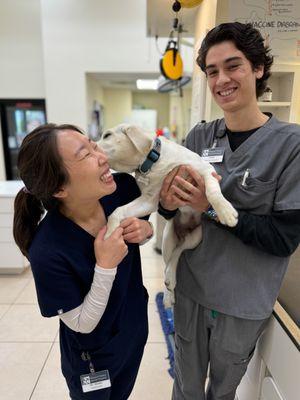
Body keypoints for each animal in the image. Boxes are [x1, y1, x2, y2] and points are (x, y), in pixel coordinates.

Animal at [98, 123, 237, 304]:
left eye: (107, 135)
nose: (91, 145)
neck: (153, 161)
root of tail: (183, 234)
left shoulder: (207, 170)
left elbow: (212, 192)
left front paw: (226, 212)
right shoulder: (149, 201)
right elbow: (117, 211)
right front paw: (110, 234)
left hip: (197, 236)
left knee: (177, 254)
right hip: (167, 239)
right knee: (169, 261)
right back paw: (168, 294)